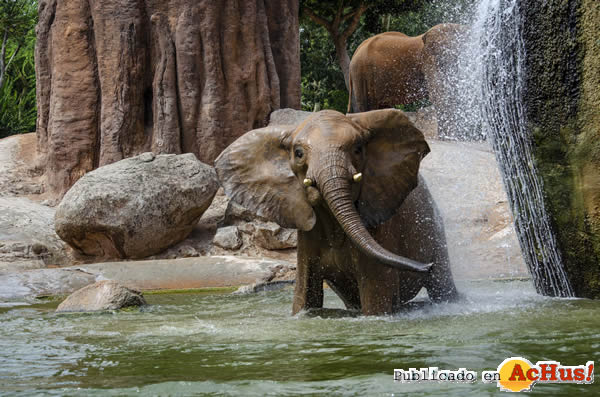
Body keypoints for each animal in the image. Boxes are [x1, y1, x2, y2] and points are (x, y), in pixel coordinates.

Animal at [216, 109, 460, 316]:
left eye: (358, 149)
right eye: (298, 153)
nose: (425, 266)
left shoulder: (379, 228)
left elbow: (375, 298)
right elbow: (304, 296)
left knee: (442, 285)